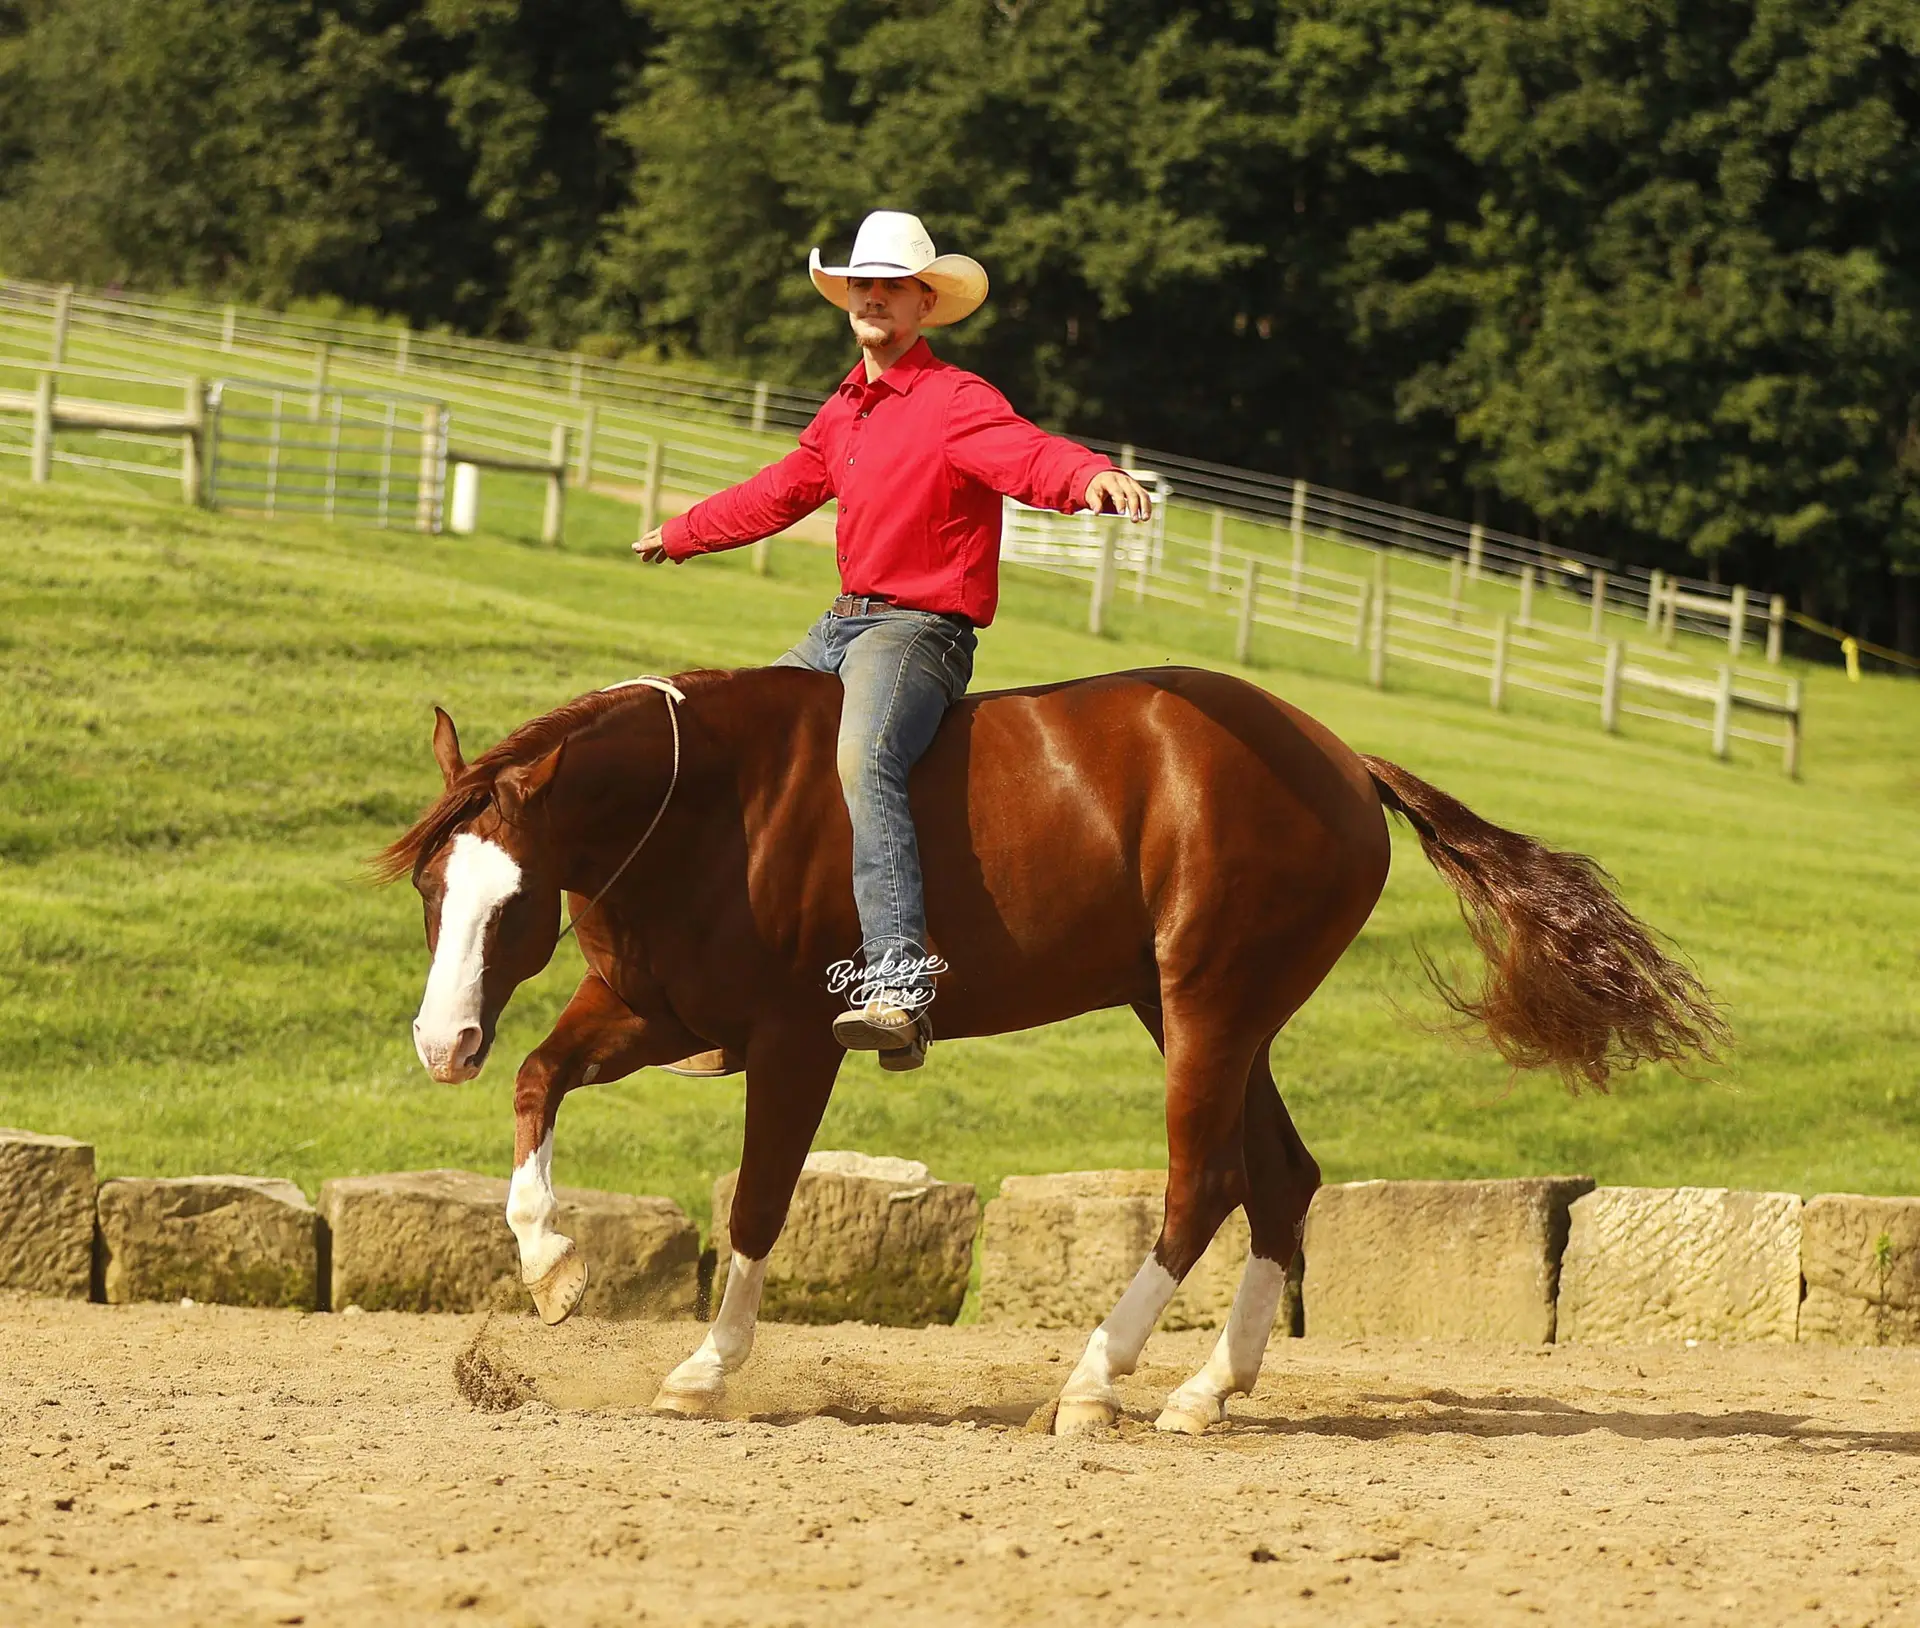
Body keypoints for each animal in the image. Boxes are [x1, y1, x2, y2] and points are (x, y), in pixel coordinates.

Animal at [377, 663, 1724, 1435]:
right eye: (437, 889)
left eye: (513, 900)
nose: (440, 1039)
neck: (715, 801)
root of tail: (1342, 757)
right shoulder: (652, 1009)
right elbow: (539, 1081)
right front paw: (551, 1266)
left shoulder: (793, 1044)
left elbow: (760, 1203)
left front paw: (706, 1367)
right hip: (1206, 1013)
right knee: (1281, 1180)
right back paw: (1202, 1392)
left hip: (1209, 1007)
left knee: (1203, 1183)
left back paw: (1095, 1379)